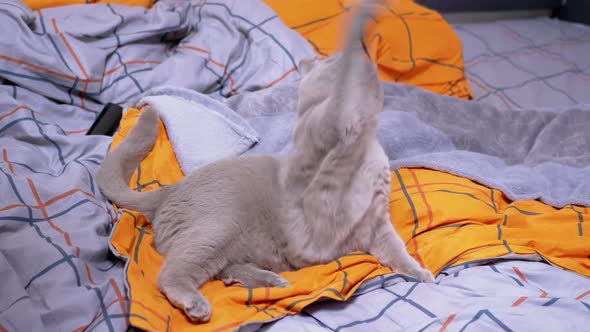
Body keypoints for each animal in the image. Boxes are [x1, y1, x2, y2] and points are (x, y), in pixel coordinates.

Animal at [98, 2, 434, 322]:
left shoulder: (377, 224)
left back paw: (271, 280)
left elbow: (398, 251)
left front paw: (420, 273)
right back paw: (199, 305)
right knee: (172, 273)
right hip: (218, 227)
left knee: (223, 269)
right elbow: (333, 116)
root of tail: (170, 190)